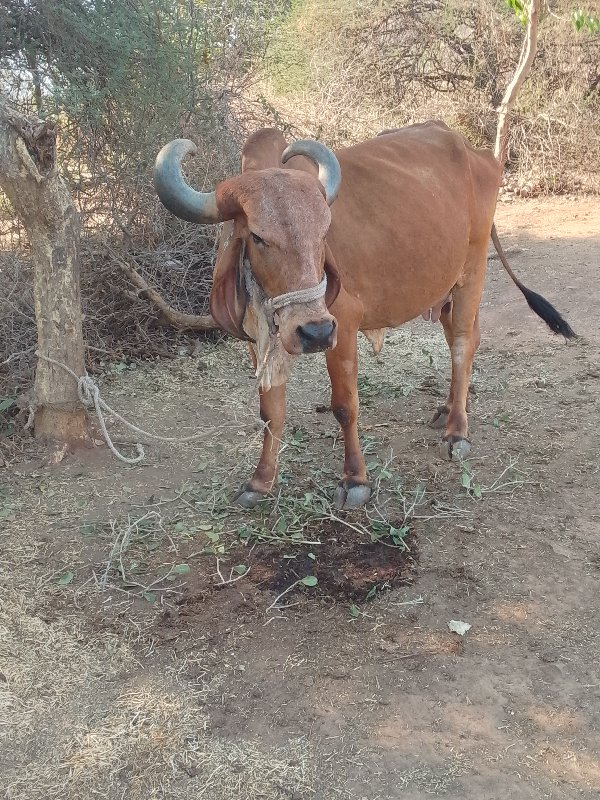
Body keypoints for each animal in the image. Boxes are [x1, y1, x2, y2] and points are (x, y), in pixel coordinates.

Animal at [152, 123, 576, 512]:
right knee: (469, 339)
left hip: (471, 272)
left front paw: (355, 479)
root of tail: (479, 155)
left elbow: (344, 406)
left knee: (461, 345)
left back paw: (457, 431)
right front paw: (260, 482)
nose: (314, 332)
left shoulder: (343, 326)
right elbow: (270, 412)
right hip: (442, 290)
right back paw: (451, 408)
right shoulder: (260, 343)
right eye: (257, 237)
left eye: (324, 232)